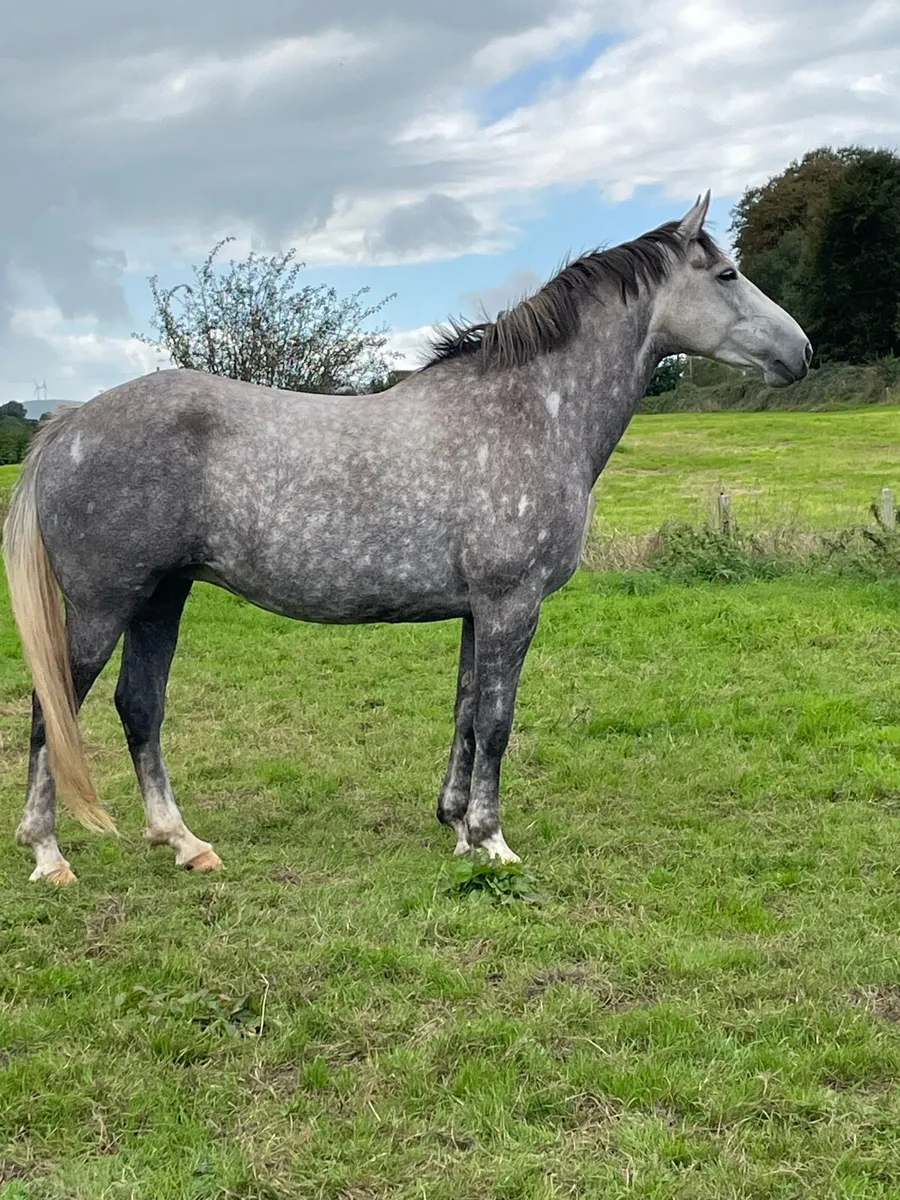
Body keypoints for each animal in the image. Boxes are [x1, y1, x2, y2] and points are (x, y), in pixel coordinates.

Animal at [4, 192, 811, 885]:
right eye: (727, 274)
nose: (801, 352)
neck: (527, 411)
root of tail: (67, 423)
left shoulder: (478, 611)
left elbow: (464, 713)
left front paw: (456, 826)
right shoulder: (512, 606)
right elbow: (496, 721)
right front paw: (492, 841)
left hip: (160, 597)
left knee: (139, 708)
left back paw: (184, 843)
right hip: (104, 606)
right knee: (54, 712)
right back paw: (48, 853)